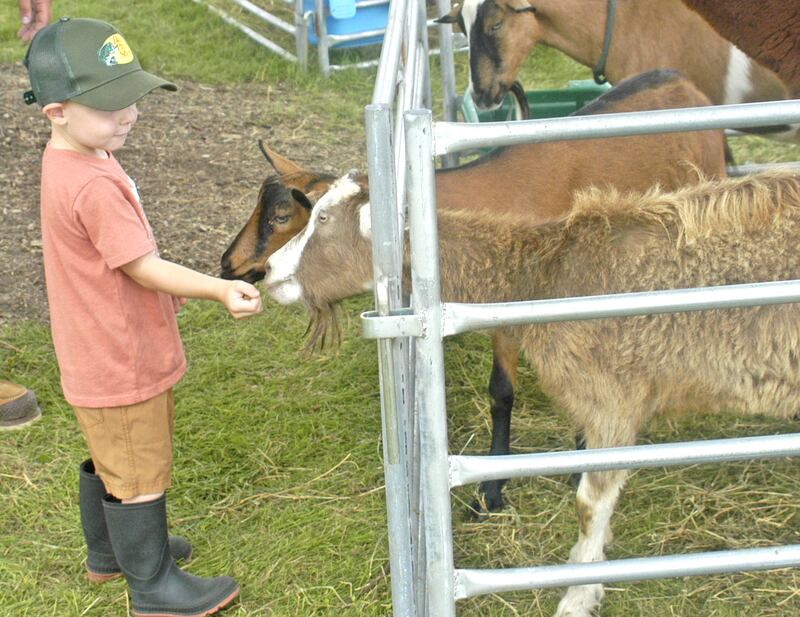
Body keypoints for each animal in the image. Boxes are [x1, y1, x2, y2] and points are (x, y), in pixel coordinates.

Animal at [264, 169, 800, 616]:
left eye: (324, 219)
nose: (268, 272)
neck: (542, 273)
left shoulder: (612, 401)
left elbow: (589, 504)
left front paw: (578, 594)